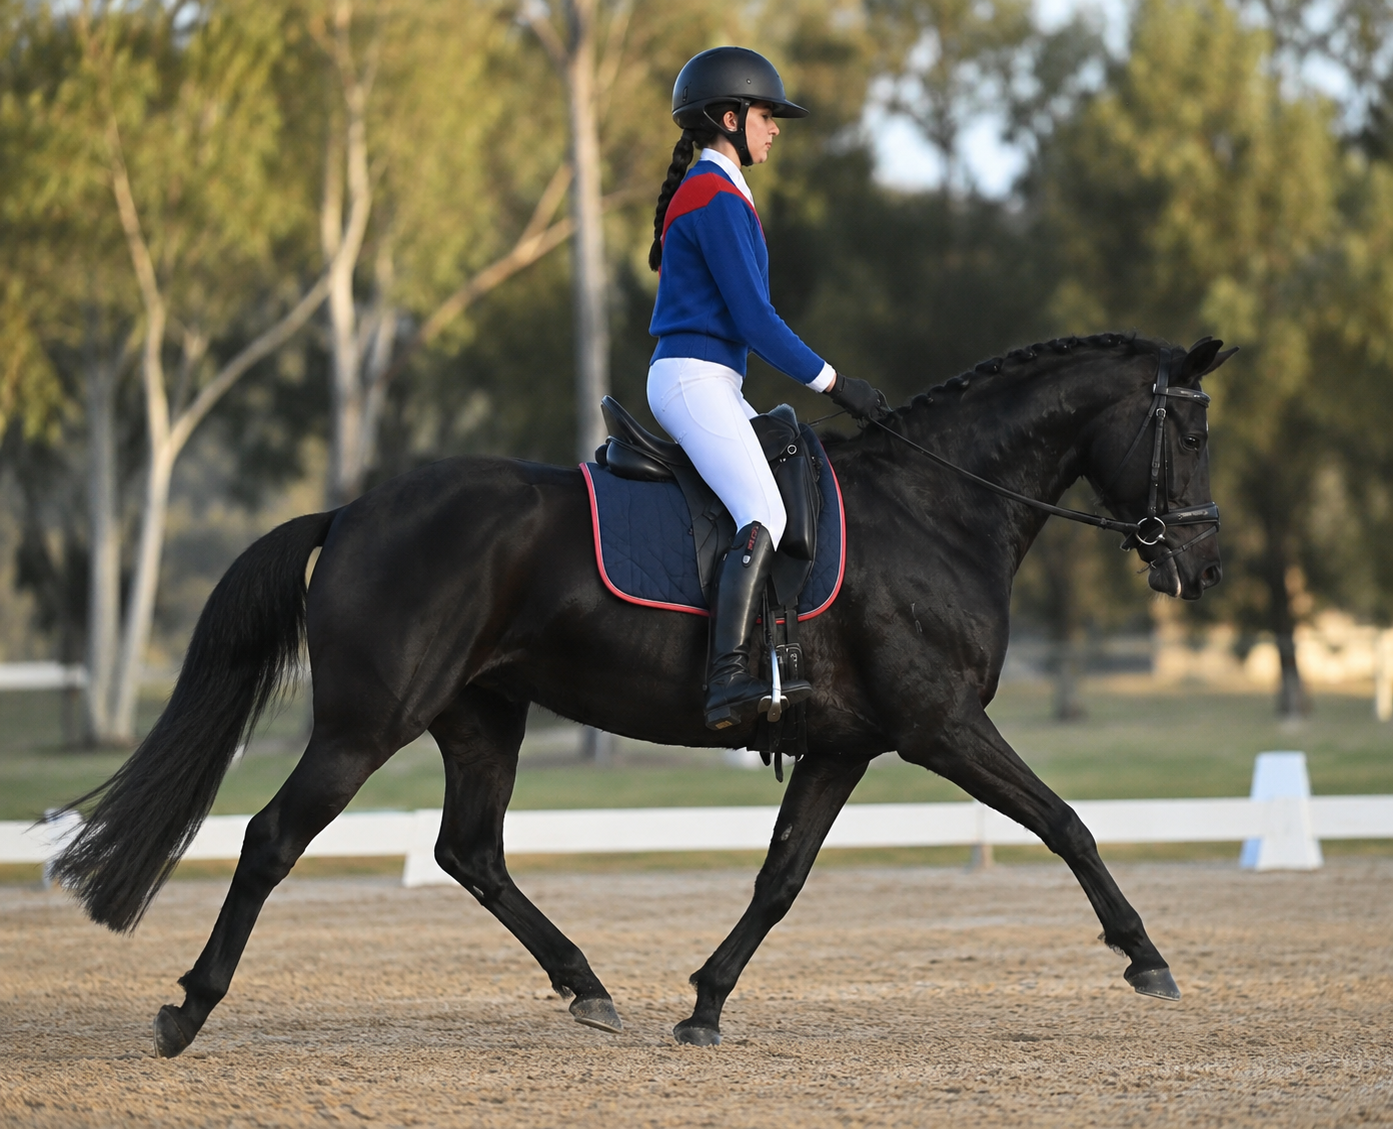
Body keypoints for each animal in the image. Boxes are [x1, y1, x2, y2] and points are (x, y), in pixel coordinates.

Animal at [53, 332, 1231, 1056]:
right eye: (1193, 431)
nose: (1200, 567)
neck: (936, 507)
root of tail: (351, 510)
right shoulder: (941, 725)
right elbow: (1066, 822)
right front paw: (1146, 956)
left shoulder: (844, 746)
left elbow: (780, 878)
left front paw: (704, 1003)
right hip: (367, 722)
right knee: (273, 837)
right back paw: (187, 1009)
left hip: (481, 717)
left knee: (469, 851)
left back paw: (587, 985)